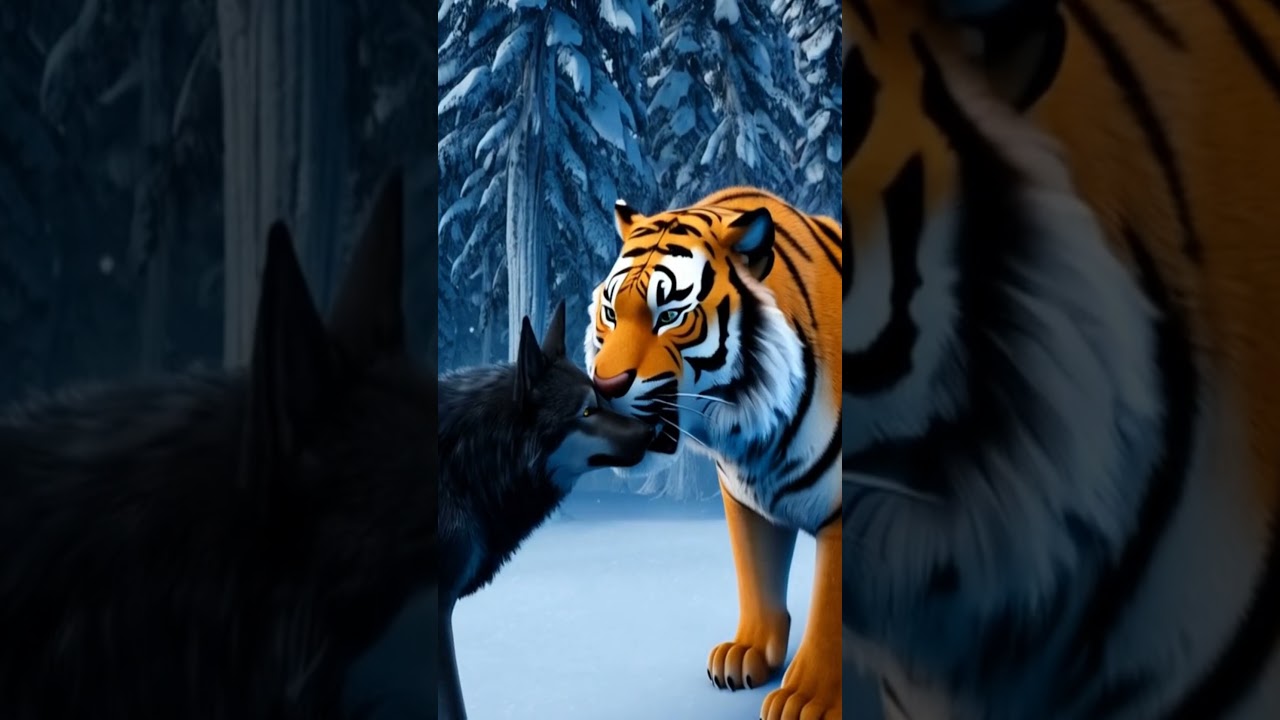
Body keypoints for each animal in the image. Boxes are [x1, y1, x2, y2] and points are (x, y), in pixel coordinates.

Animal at [583, 187, 844, 719]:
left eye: (669, 316)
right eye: (611, 312)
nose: (604, 385)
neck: (754, 433)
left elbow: (829, 609)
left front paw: (806, 698)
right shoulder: (744, 494)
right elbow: (755, 574)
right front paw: (747, 653)